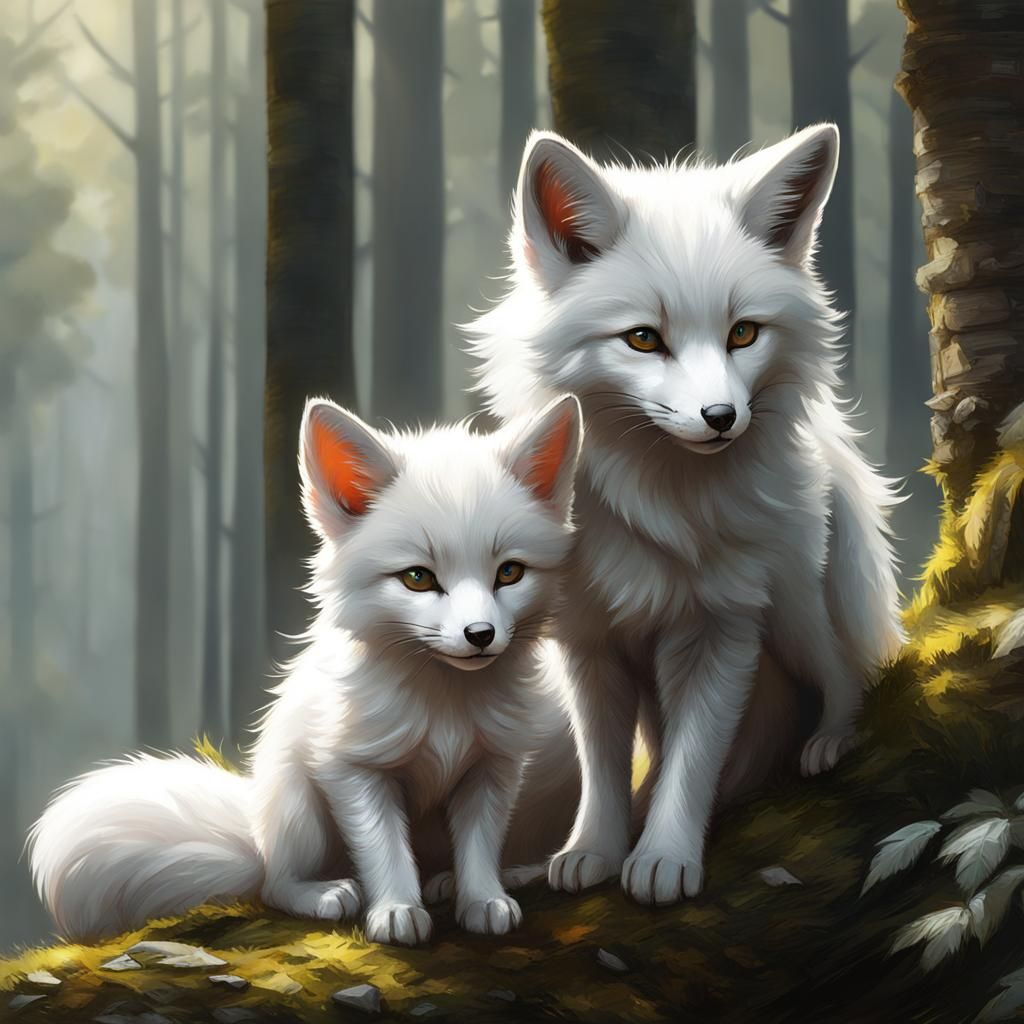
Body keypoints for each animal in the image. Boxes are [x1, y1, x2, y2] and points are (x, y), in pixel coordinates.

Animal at [29, 395, 584, 946]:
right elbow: (384, 848)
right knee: (274, 884)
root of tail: (255, 832)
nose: (480, 635)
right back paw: (325, 894)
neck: (444, 703)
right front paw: (396, 910)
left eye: (509, 572)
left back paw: (461, 880)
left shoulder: (494, 767)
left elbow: (480, 846)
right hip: (300, 813)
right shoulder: (352, 768)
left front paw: (483, 899)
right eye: (418, 578)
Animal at [467, 123, 905, 907]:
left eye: (743, 334)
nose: (722, 417)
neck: (661, 503)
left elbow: (692, 758)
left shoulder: (720, 629)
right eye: (644, 338)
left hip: (793, 614)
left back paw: (832, 739)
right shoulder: (591, 642)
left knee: (848, 669)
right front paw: (594, 850)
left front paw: (665, 858)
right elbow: (605, 765)